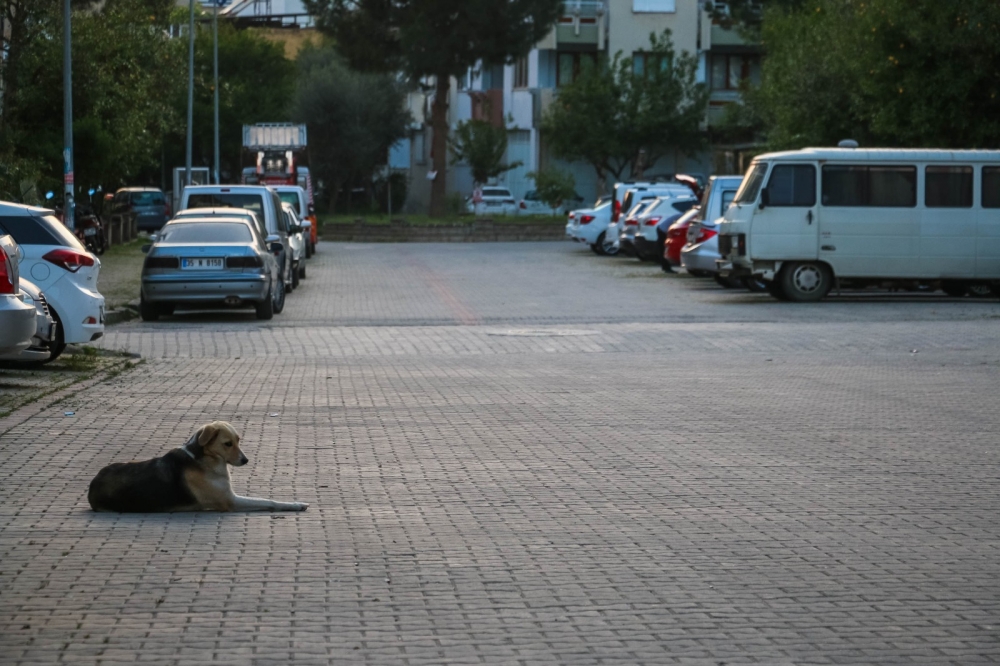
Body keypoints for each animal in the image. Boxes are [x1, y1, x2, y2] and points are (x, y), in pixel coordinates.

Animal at [89, 420, 308, 512]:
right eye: (228, 444)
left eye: (238, 440)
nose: (245, 460)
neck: (204, 459)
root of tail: (92, 485)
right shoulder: (230, 501)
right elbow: (268, 501)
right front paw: (295, 504)